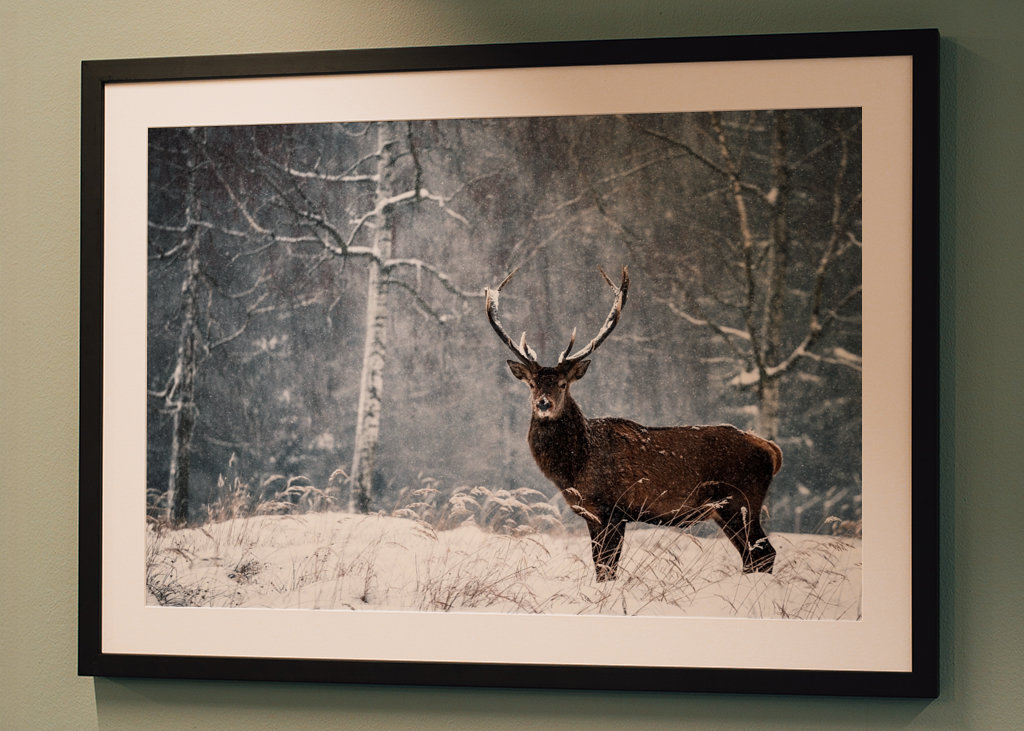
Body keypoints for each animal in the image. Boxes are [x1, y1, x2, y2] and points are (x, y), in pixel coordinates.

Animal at [485, 266, 781, 581]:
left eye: (563, 384)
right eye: (531, 384)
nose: (544, 403)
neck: (575, 467)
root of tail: (772, 450)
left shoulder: (612, 508)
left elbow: (607, 566)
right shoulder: (592, 513)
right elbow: (600, 564)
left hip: (741, 501)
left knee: (764, 553)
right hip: (729, 509)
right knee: (753, 555)